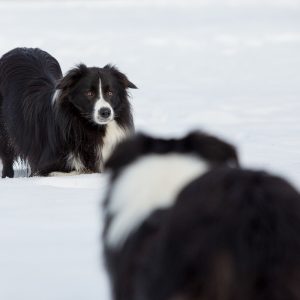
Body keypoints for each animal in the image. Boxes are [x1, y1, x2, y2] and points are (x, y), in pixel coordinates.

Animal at [0, 47, 136, 177]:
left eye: (110, 92)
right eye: (89, 93)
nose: (105, 112)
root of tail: (20, 49)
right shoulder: (45, 165)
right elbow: (76, 171)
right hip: (6, 132)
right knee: (7, 156)